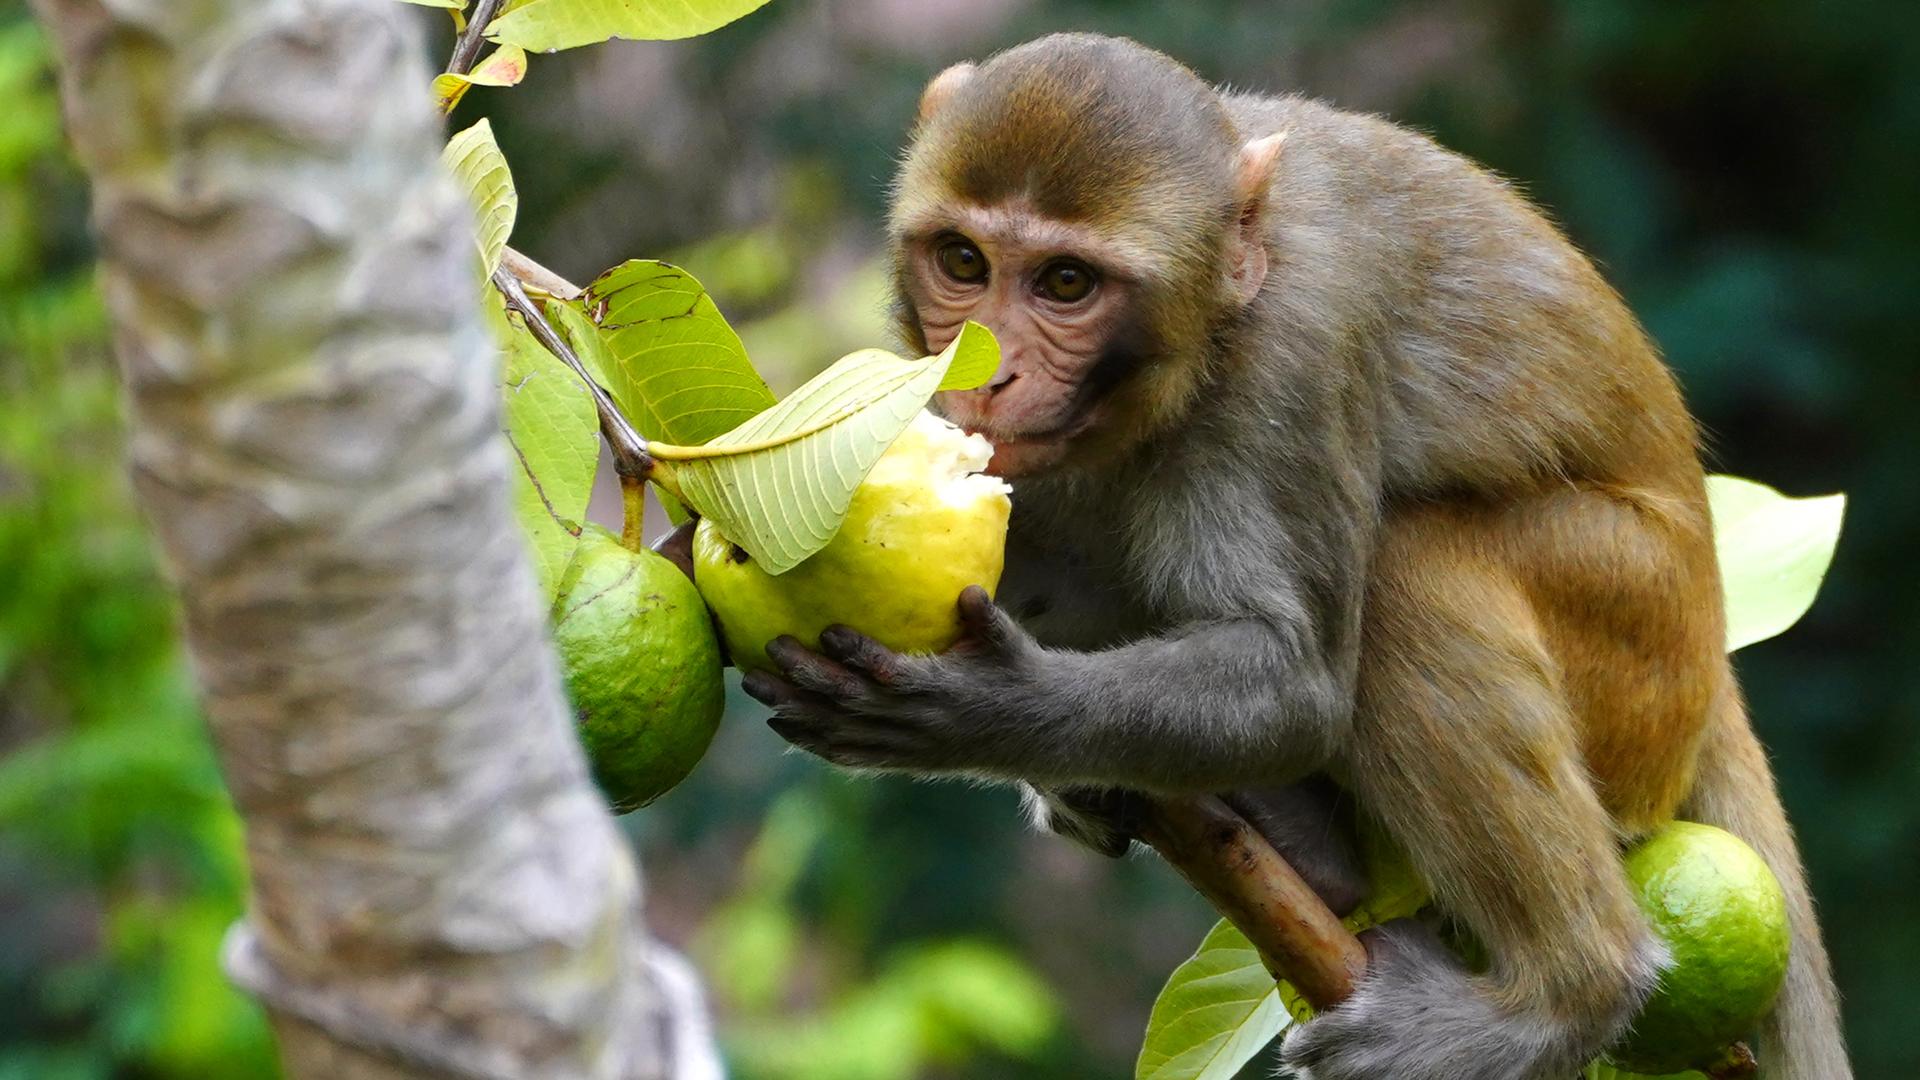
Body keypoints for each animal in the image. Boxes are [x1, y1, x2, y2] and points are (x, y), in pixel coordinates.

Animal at [741, 33, 1850, 1076]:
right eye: (964, 263)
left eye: (1065, 282)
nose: (987, 370)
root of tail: (1711, 658)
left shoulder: (1296, 348)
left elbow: (1296, 684)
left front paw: (985, 708)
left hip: (1637, 633)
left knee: (1407, 579)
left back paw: (1565, 993)